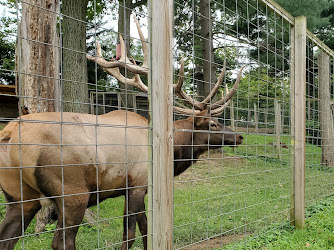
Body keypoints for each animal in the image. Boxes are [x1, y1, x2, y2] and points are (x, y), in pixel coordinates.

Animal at [0, 16, 244, 249]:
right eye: (212, 124)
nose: (239, 136)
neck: (173, 152)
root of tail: (9, 134)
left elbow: (146, 228)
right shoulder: (137, 183)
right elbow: (130, 233)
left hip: (19, 196)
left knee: (7, 238)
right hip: (72, 191)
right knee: (61, 241)